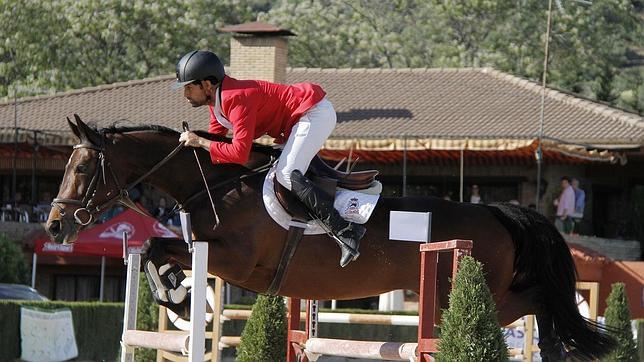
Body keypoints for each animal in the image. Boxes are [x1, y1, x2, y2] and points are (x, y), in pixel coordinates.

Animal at [46, 116, 612, 362]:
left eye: (83, 169)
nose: (55, 226)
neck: (217, 184)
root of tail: (497, 210)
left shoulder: (235, 261)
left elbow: (166, 249)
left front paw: (182, 297)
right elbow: (153, 250)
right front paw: (180, 298)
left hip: (475, 291)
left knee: (541, 301)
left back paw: (558, 348)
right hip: (483, 293)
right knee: (541, 303)